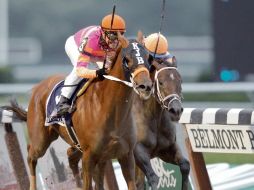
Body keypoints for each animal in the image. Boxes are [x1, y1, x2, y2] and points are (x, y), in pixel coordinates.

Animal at [2, 32, 153, 190]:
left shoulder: (125, 155)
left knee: (70, 156)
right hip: (40, 141)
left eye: (149, 57)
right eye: (127, 59)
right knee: (31, 155)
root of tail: (38, 87)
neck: (112, 111)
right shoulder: (89, 157)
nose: (145, 86)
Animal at [133, 59, 190, 190]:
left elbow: (185, 165)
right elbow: (153, 178)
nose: (176, 111)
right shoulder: (138, 151)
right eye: (161, 82)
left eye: (180, 81)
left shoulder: (166, 149)